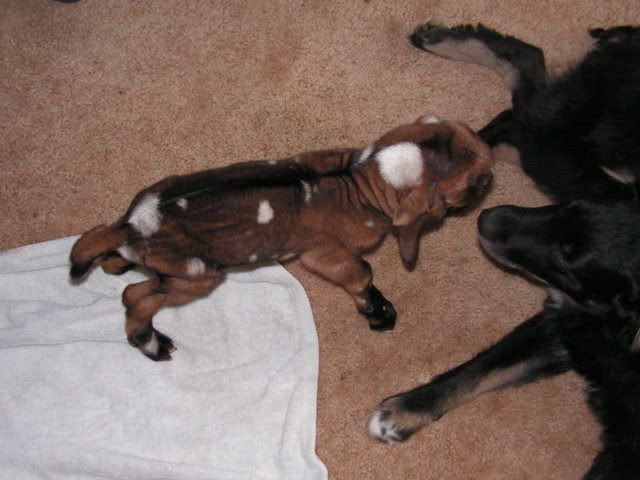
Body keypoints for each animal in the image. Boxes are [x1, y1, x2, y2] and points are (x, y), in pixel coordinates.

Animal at [69, 116, 494, 361]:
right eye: (472, 184)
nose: (492, 177)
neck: (358, 179)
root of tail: (133, 224)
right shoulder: (323, 252)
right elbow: (361, 274)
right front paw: (378, 312)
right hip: (199, 276)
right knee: (137, 300)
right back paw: (151, 344)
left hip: (168, 266)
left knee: (122, 274)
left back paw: (115, 264)